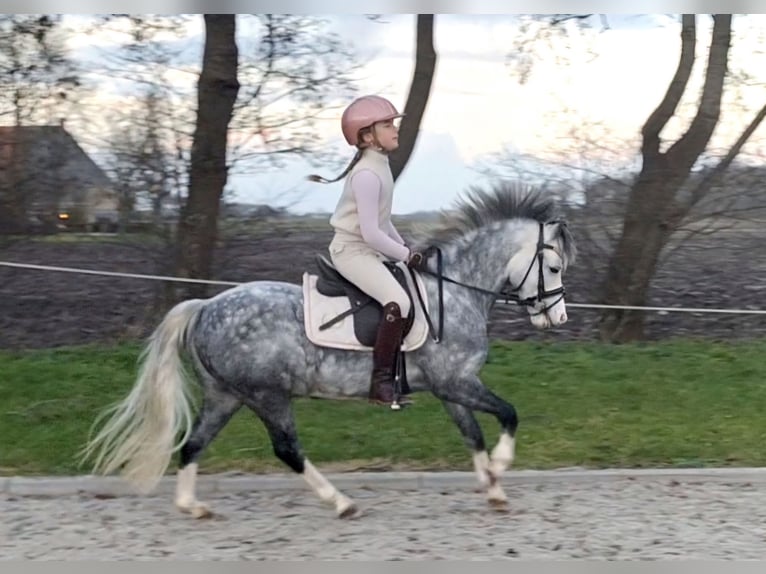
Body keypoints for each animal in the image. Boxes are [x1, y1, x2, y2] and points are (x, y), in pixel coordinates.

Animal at [82, 183, 576, 520]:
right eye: (553, 267)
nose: (557, 318)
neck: (454, 292)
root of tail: (205, 306)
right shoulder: (458, 382)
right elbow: (508, 413)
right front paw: (502, 466)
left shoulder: (450, 387)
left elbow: (471, 434)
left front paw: (493, 489)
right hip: (267, 395)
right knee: (286, 449)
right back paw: (340, 502)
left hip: (227, 395)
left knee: (194, 443)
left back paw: (192, 506)